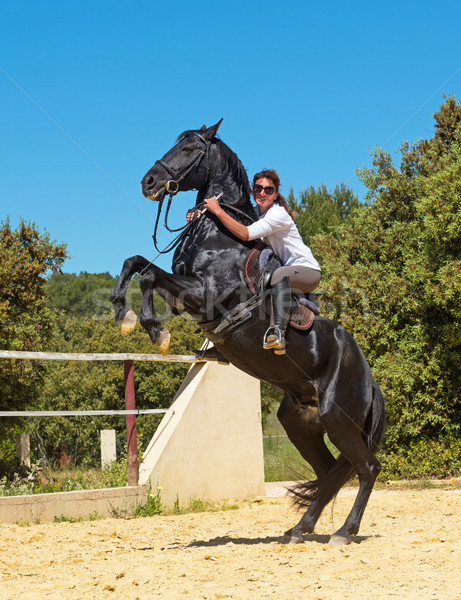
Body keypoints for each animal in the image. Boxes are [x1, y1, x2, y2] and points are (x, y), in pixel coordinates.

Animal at [110, 119, 384, 548]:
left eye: (189, 148)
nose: (148, 181)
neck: (218, 235)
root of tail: (370, 379)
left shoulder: (203, 294)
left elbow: (150, 276)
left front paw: (156, 332)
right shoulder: (182, 294)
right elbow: (136, 262)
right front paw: (123, 313)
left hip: (337, 418)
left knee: (367, 468)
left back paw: (344, 532)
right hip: (299, 422)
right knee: (329, 474)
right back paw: (299, 529)